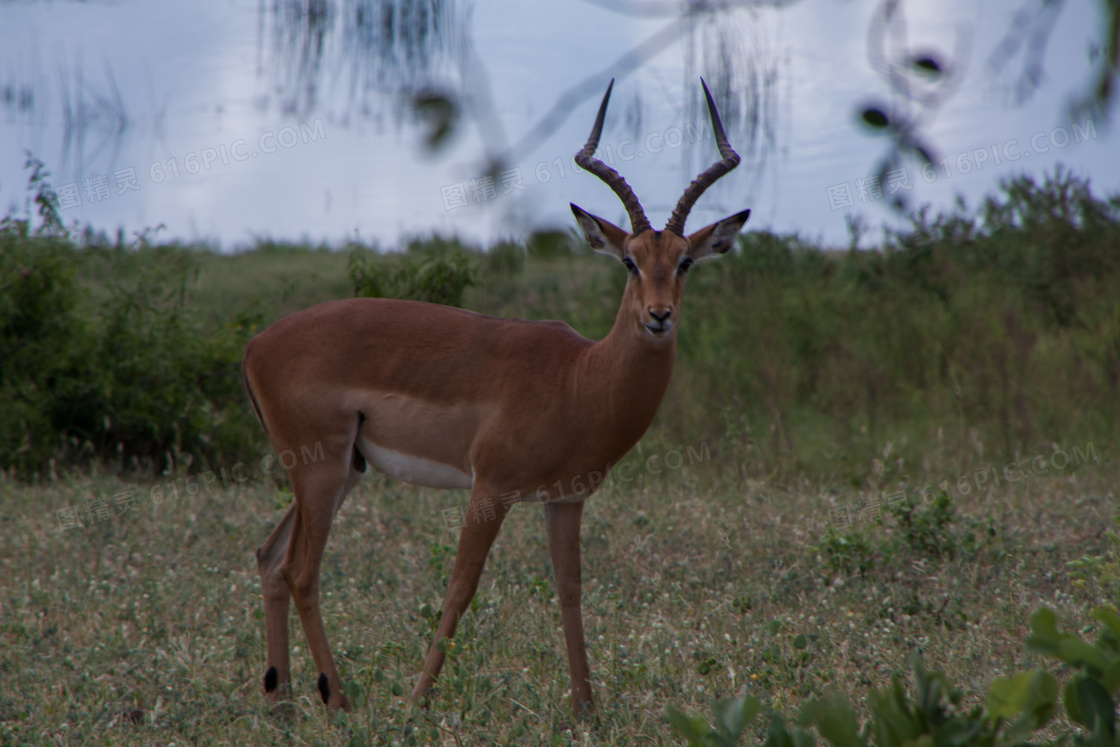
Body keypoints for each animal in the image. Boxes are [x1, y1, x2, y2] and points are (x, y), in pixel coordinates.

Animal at [245, 78, 752, 716]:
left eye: (684, 261)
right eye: (629, 261)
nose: (659, 316)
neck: (579, 378)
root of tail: (255, 346)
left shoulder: (566, 499)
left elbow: (569, 590)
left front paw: (586, 711)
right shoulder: (489, 488)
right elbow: (461, 587)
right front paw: (417, 703)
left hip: (342, 471)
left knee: (270, 559)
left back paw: (282, 703)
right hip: (321, 469)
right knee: (301, 570)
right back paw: (337, 700)